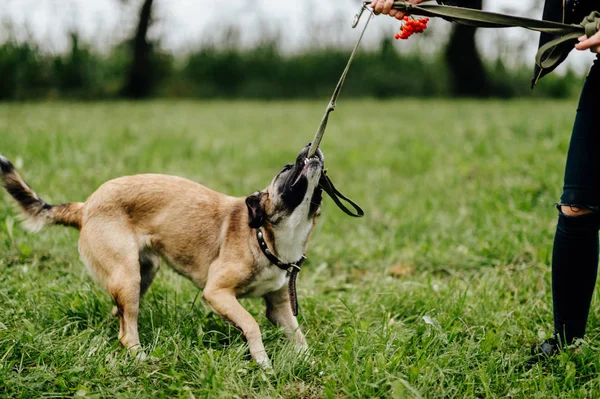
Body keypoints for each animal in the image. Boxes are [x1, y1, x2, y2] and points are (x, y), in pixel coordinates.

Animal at [0, 145, 324, 368]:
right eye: (286, 169)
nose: (312, 147)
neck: (265, 237)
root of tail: (86, 206)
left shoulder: (279, 307)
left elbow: (299, 337)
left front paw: (311, 363)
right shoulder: (217, 293)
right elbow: (251, 324)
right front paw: (263, 362)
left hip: (143, 273)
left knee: (120, 316)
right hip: (128, 276)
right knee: (127, 333)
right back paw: (142, 359)